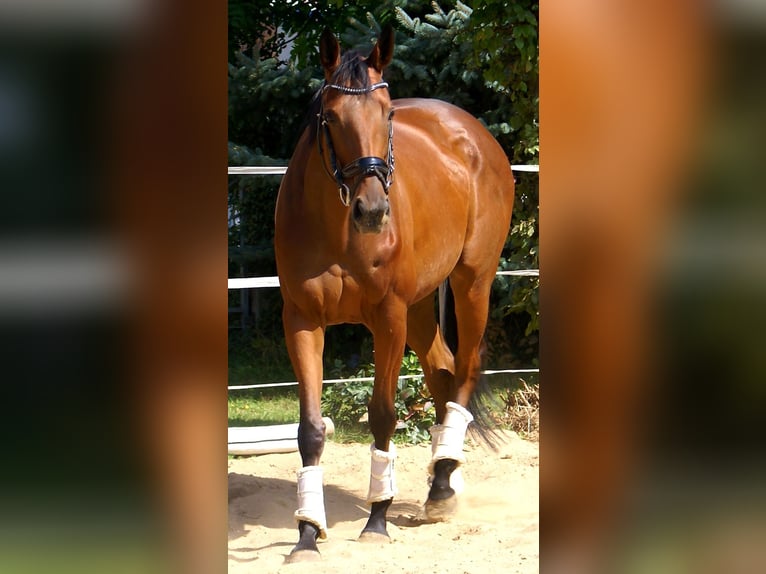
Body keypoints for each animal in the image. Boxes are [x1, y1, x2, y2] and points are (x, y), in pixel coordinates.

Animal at [274, 27, 515, 562]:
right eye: (331, 116)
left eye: (386, 114)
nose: (372, 210)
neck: (337, 230)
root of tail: (472, 132)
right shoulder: (302, 319)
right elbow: (310, 429)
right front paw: (307, 532)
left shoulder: (388, 317)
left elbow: (382, 414)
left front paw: (378, 519)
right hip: (423, 305)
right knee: (443, 371)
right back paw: (444, 481)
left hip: (471, 282)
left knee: (464, 368)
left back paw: (441, 485)